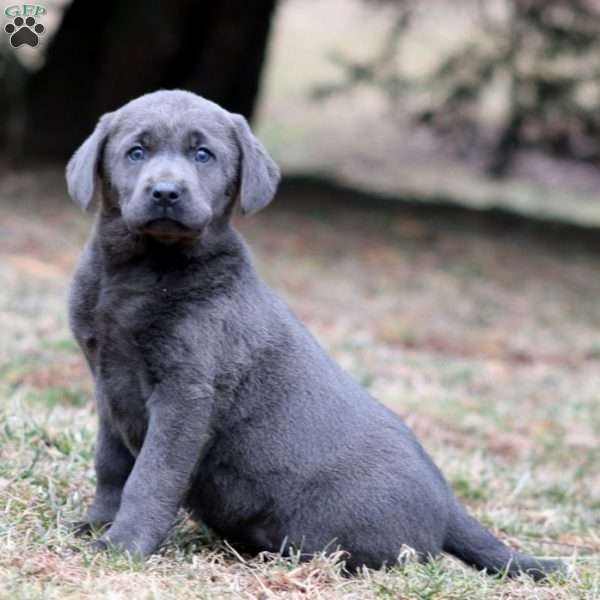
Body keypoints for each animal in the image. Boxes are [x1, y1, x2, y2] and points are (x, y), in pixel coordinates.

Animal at [67, 88, 564, 576]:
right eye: (136, 152)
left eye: (203, 154)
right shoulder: (107, 383)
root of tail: (448, 503)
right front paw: (98, 524)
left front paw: (123, 545)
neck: (141, 271)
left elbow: (151, 476)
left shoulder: (185, 394)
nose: (166, 192)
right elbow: (112, 465)